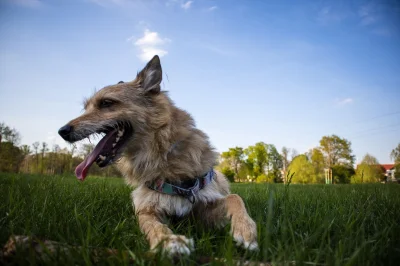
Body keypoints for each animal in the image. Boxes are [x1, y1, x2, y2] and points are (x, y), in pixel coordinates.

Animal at [58, 55, 260, 256]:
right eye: (86, 107)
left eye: (106, 103)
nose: (62, 131)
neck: (161, 154)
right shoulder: (147, 209)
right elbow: (152, 225)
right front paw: (169, 241)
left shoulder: (202, 207)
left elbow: (235, 198)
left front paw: (245, 231)